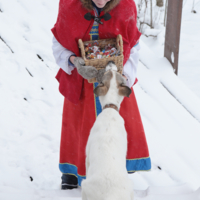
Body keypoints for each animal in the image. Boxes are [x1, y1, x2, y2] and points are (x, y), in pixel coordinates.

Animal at [81, 62, 134, 200]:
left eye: (108, 72)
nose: (111, 62)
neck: (110, 107)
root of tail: (111, 195)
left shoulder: (87, 157)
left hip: (85, 186)